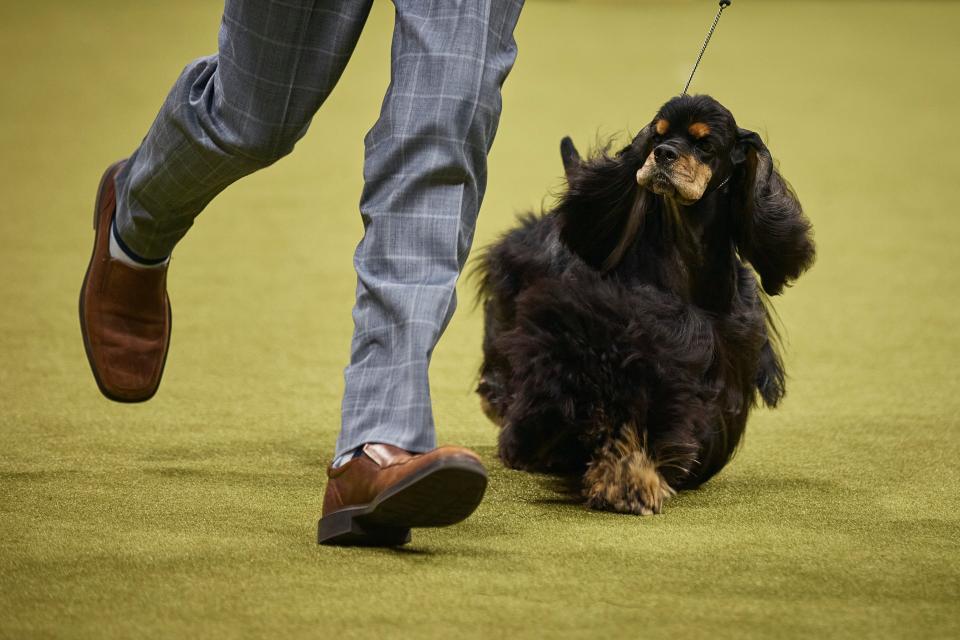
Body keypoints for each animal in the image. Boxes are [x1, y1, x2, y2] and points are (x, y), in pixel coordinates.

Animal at [472, 95, 808, 516]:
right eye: (657, 136)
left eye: (704, 143)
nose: (663, 155)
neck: (686, 253)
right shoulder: (618, 342)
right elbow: (624, 413)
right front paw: (630, 480)